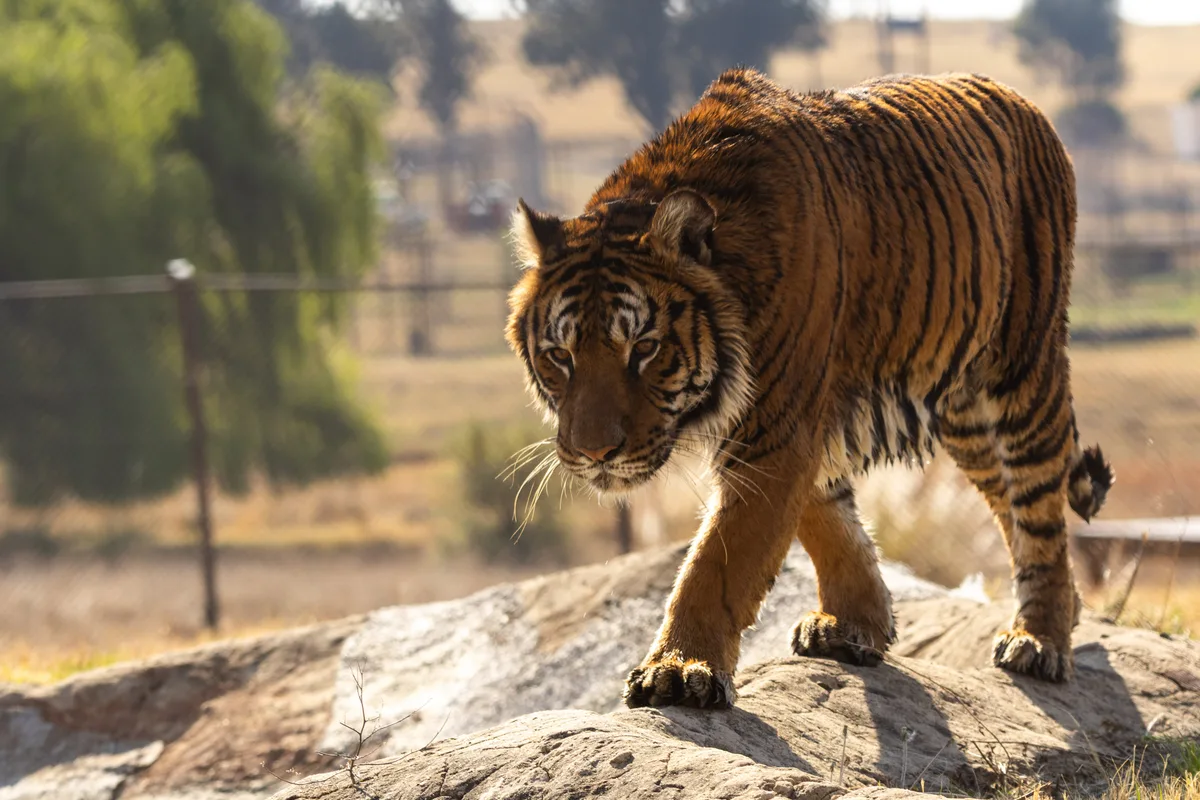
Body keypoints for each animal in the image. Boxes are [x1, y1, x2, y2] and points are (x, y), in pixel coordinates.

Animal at [505, 67, 1113, 709]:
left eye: (643, 348)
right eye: (560, 356)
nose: (595, 452)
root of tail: (1017, 96)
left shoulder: (778, 428)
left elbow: (718, 562)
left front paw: (678, 668)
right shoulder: (799, 426)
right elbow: (826, 518)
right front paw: (856, 621)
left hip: (1022, 373)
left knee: (1039, 506)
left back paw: (1039, 641)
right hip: (965, 413)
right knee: (1010, 503)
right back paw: (1067, 612)